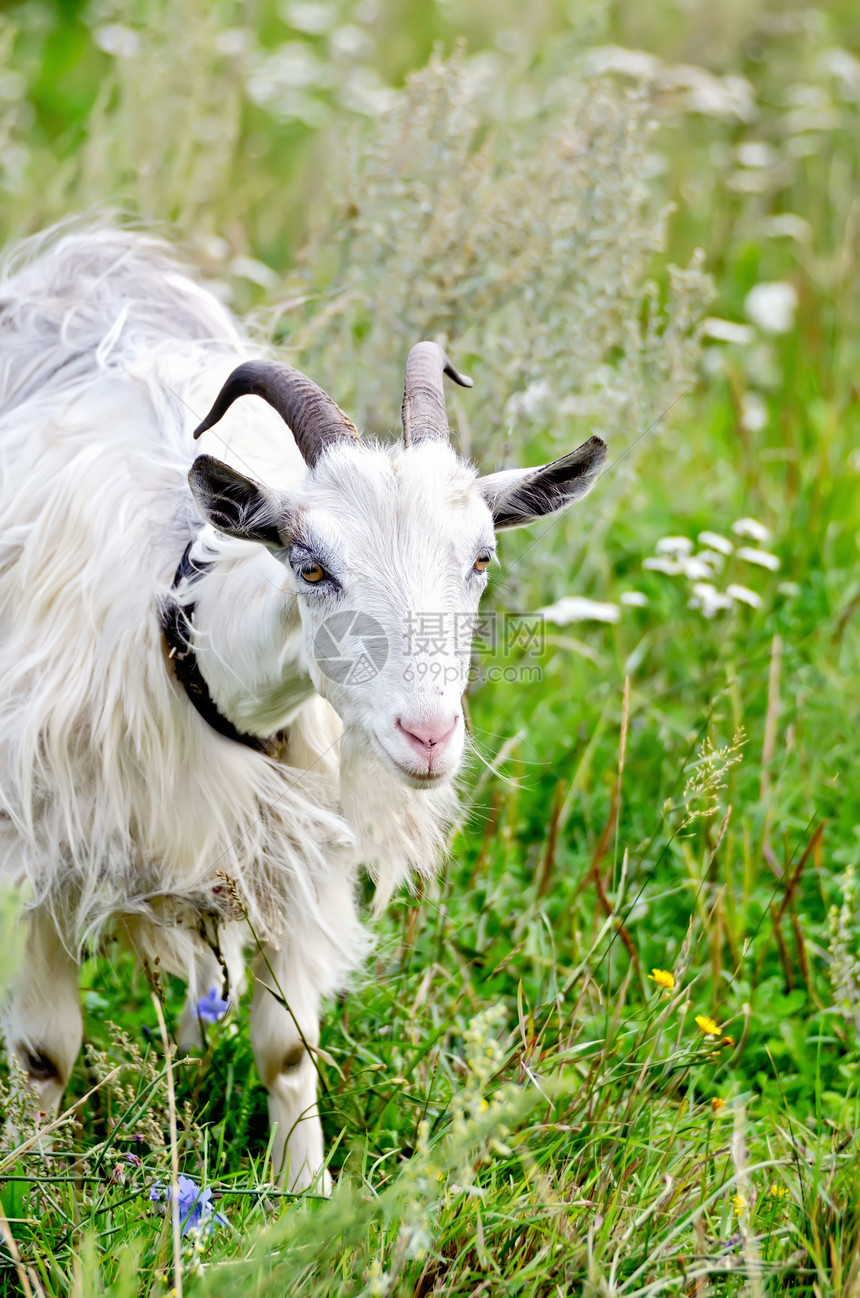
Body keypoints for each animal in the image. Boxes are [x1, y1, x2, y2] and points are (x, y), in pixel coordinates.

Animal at [0, 223, 604, 1188]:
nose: (427, 735)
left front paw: (306, 1190)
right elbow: (45, 1051)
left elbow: (287, 1047)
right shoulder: (44, 849)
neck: (186, 636)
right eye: (312, 564)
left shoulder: (296, 853)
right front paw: (32, 1182)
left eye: (480, 558)